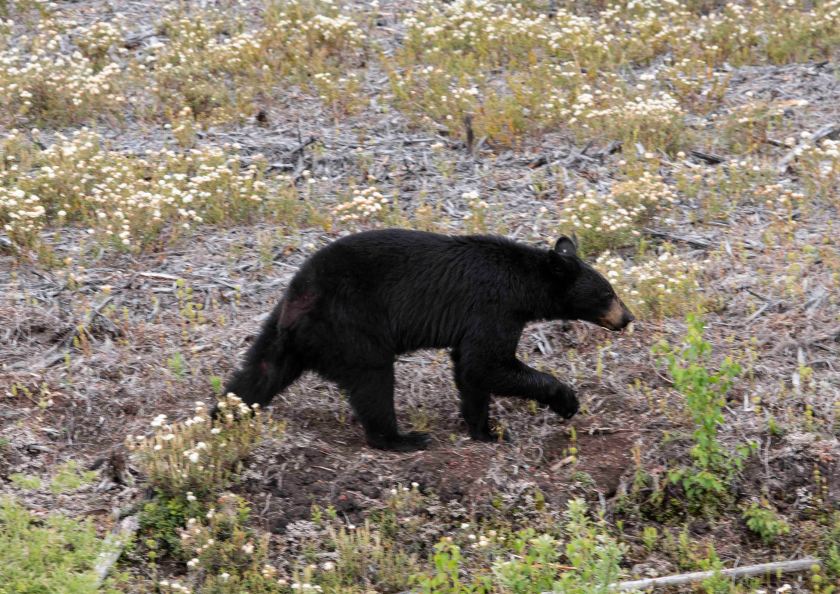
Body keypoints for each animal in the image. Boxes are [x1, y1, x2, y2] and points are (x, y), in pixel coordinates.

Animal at [221, 229, 634, 451]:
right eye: (608, 293)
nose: (628, 317)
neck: (523, 284)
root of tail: (300, 298)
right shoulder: (493, 308)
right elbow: (486, 363)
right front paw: (566, 400)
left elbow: (470, 371)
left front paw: (485, 430)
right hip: (352, 325)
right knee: (373, 380)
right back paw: (402, 438)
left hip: (285, 332)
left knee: (258, 372)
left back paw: (222, 416)